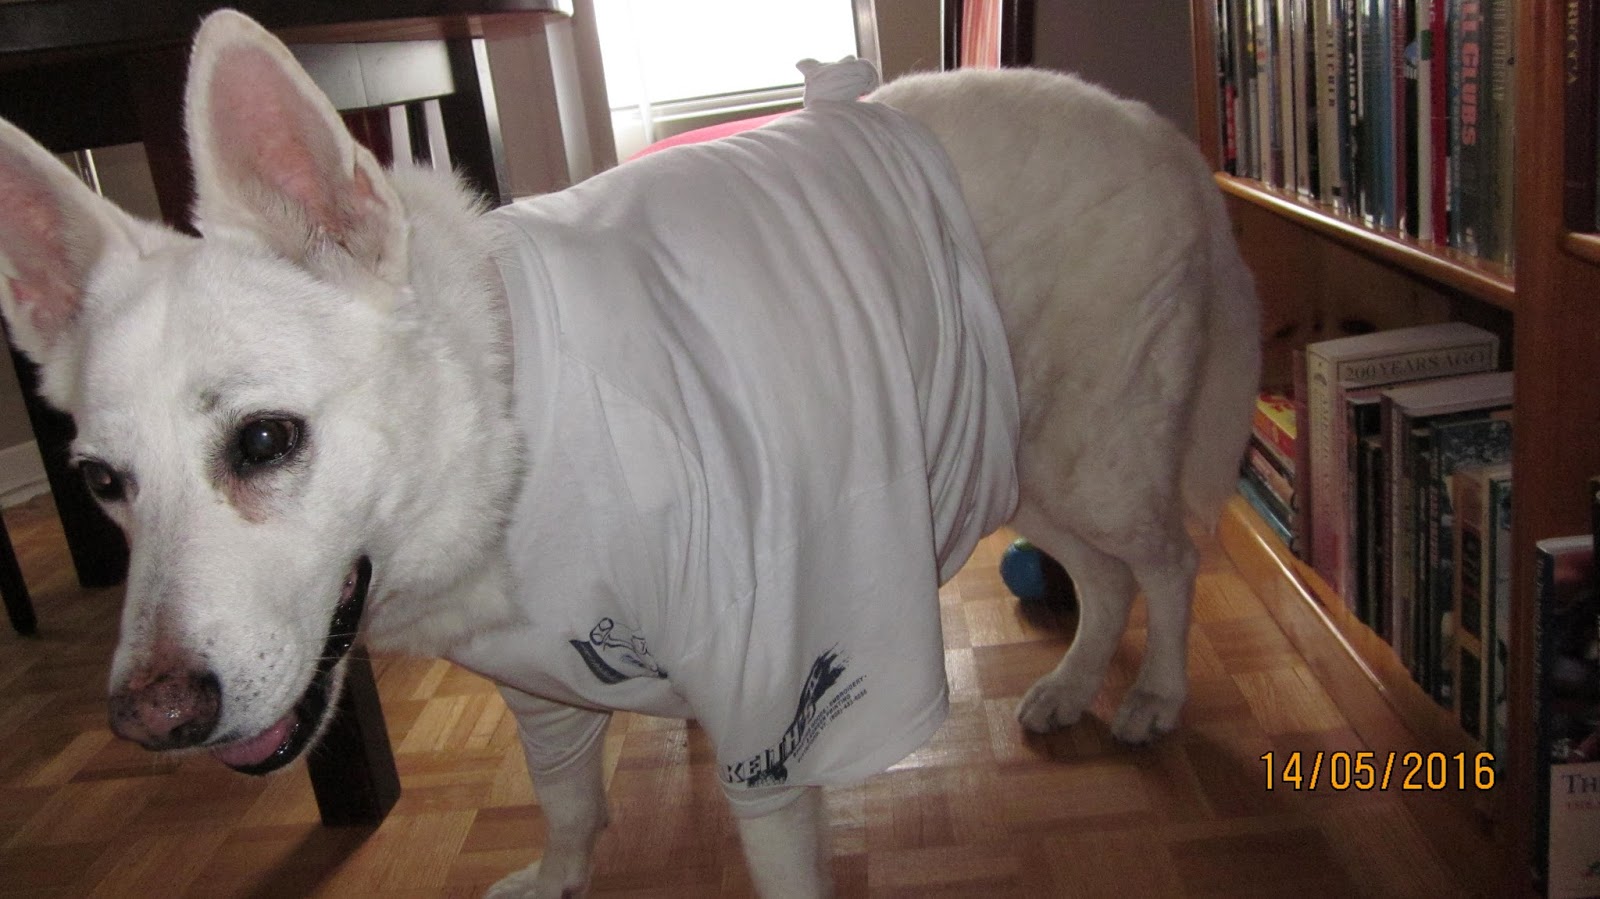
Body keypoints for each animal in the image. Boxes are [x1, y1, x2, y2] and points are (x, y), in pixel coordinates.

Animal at [0, 10, 1258, 897]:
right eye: (102, 483)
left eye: (263, 439)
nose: (150, 721)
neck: (506, 412)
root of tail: (1161, 132)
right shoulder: (539, 682)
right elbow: (566, 799)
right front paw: (560, 876)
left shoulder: (772, 689)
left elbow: (776, 847)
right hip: (1012, 452)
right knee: (1102, 578)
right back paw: (1069, 686)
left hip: (1091, 453)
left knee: (1167, 562)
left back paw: (1150, 693)